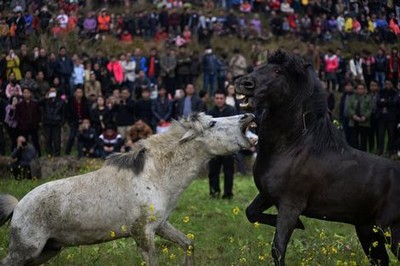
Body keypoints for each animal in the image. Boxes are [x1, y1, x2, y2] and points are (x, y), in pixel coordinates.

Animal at [0, 112, 256, 266]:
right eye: (213, 123)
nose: (247, 115)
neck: (154, 177)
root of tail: (18, 206)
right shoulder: (142, 233)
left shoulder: (161, 226)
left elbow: (188, 244)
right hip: (27, 251)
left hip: (48, 250)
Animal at [234, 50, 400, 266]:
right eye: (260, 65)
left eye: (278, 71)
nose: (242, 83)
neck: (293, 147)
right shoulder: (267, 195)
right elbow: (250, 213)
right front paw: (301, 225)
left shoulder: (290, 205)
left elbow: (278, 249)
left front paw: (298, 225)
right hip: (369, 232)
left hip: (392, 231)